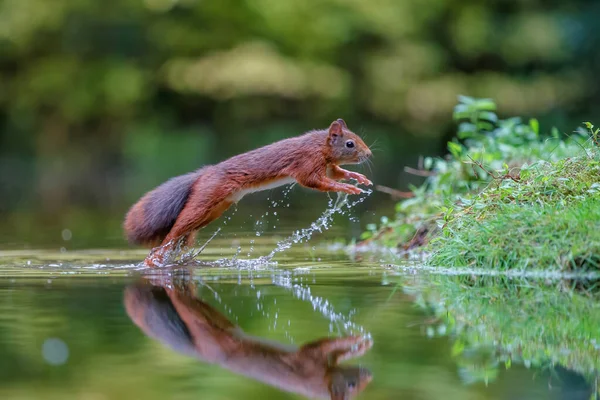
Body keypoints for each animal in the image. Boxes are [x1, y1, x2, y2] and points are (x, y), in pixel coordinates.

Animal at [123, 119, 370, 268]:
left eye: (358, 137)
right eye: (350, 144)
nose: (368, 154)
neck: (320, 146)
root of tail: (203, 174)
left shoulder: (328, 166)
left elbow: (337, 172)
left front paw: (358, 178)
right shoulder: (306, 162)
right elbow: (315, 181)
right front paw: (347, 188)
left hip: (215, 209)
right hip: (204, 200)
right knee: (175, 230)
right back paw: (154, 259)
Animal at [124, 276, 372, 398]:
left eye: (363, 387)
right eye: (352, 385)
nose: (369, 375)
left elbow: (335, 355)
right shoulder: (310, 364)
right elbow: (322, 346)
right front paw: (355, 343)